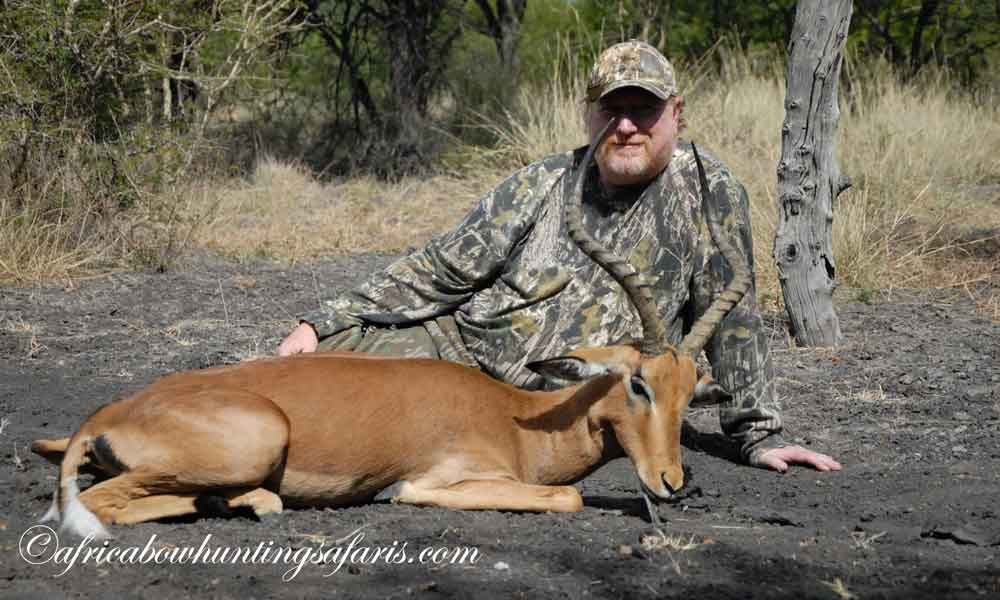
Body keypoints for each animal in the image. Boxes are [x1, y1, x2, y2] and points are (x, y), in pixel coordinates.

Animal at [32, 124, 749, 540]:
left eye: (690, 392)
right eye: (637, 383)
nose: (672, 483)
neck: (517, 420)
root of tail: (110, 413)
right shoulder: (443, 481)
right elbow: (567, 497)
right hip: (254, 443)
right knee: (101, 503)